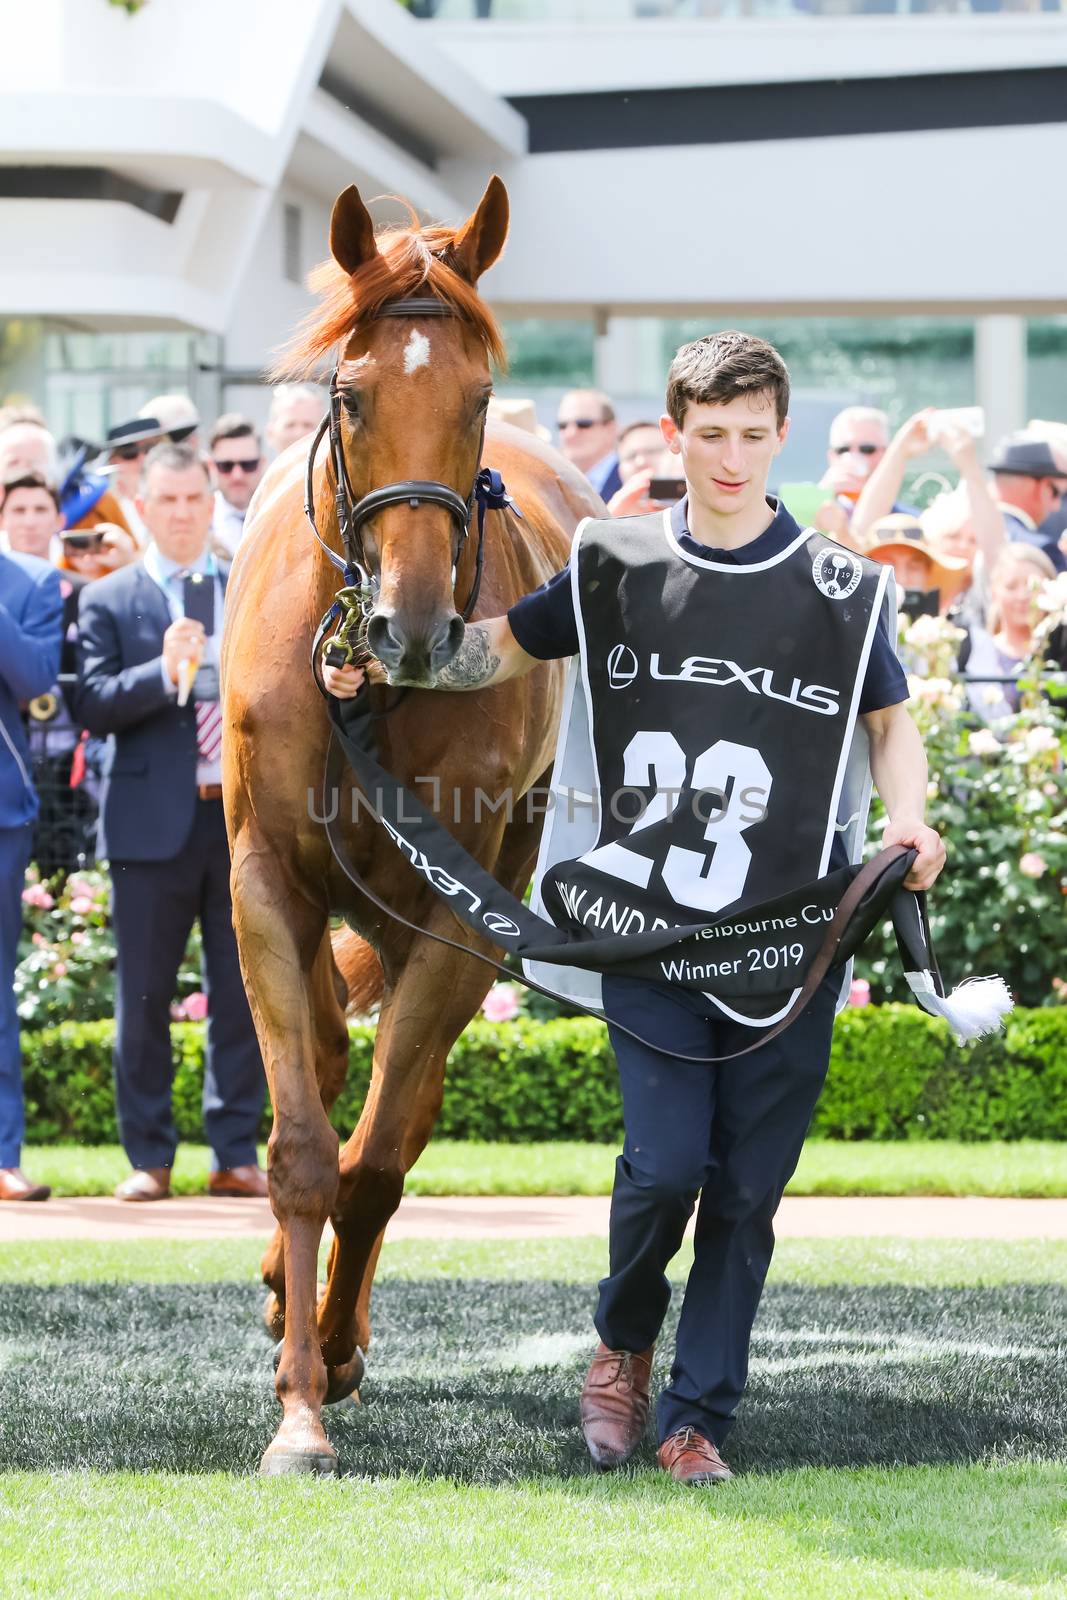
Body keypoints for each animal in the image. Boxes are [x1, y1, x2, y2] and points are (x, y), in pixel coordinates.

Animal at [220, 178, 604, 1472]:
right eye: (350, 392)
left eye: (477, 394)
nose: (416, 623)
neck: (364, 692)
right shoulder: (263, 881)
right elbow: (300, 1148)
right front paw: (294, 1407)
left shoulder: (458, 911)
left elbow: (376, 1161)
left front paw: (327, 1353)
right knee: (335, 1065)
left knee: (403, 1098)